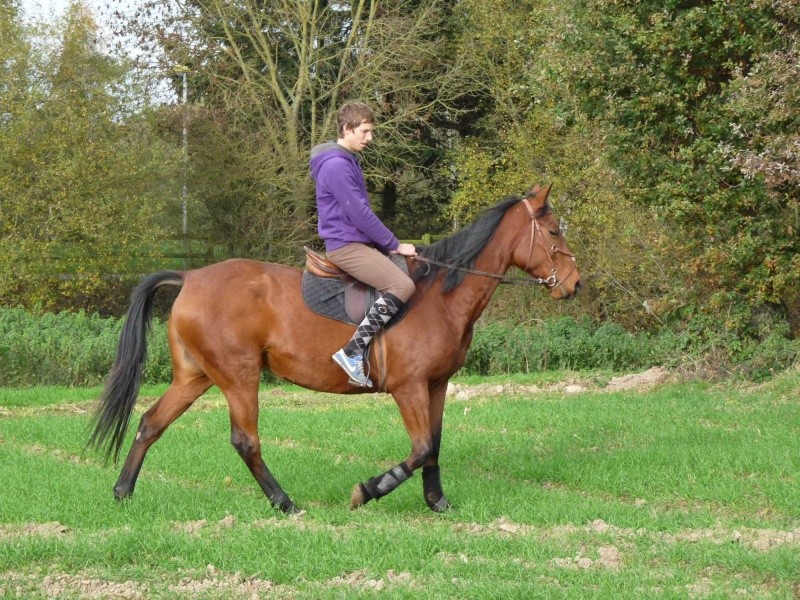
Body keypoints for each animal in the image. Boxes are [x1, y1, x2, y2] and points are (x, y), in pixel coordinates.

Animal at [87, 185, 580, 512]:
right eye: (554, 231)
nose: (574, 285)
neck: (441, 295)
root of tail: (189, 277)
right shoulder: (409, 388)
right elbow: (420, 447)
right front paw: (367, 490)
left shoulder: (436, 385)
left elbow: (435, 446)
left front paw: (437, 502)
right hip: (238, 376)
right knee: (245, 440)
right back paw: (284, 502)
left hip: (196, 376)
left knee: (151, 424)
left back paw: (122, 491)